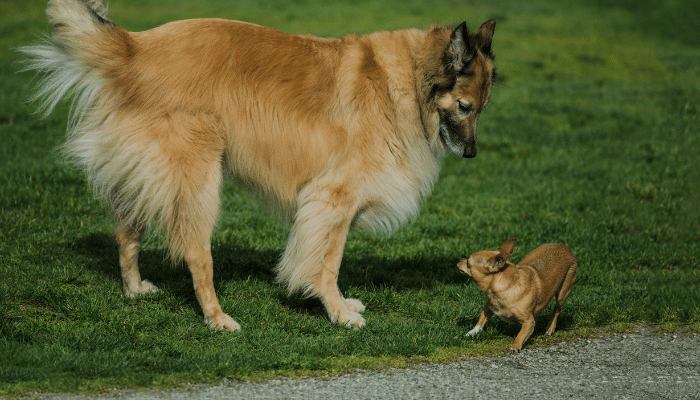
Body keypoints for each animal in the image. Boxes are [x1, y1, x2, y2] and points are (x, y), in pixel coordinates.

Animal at [19, 0, 494, 330]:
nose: (472, 154)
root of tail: (135, 48)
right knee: (196, 255)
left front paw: (341, 304)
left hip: (149, 173)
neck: (408, 80)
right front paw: (338, 312)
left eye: (483, 109)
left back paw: (134, 290)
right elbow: (327, 262)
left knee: (126, 232)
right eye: (465, 107)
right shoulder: (332, 199)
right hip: (199, 181)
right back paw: (216, 318)